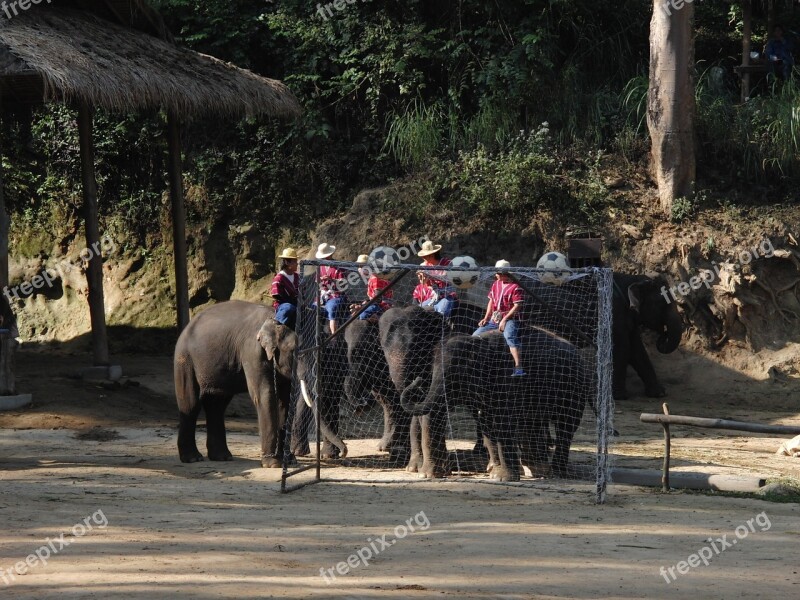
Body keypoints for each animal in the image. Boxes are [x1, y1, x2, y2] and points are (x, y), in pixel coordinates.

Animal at [175, 302, 344, 466]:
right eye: (297, 353)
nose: (343, 452)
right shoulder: (253, 351)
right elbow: (265, 395)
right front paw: (273, 463)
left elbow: (285, 400)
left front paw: (289, 461)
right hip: (185, 358)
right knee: (191, 404)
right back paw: (193, 458)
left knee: (217, 405)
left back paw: (222, 457)